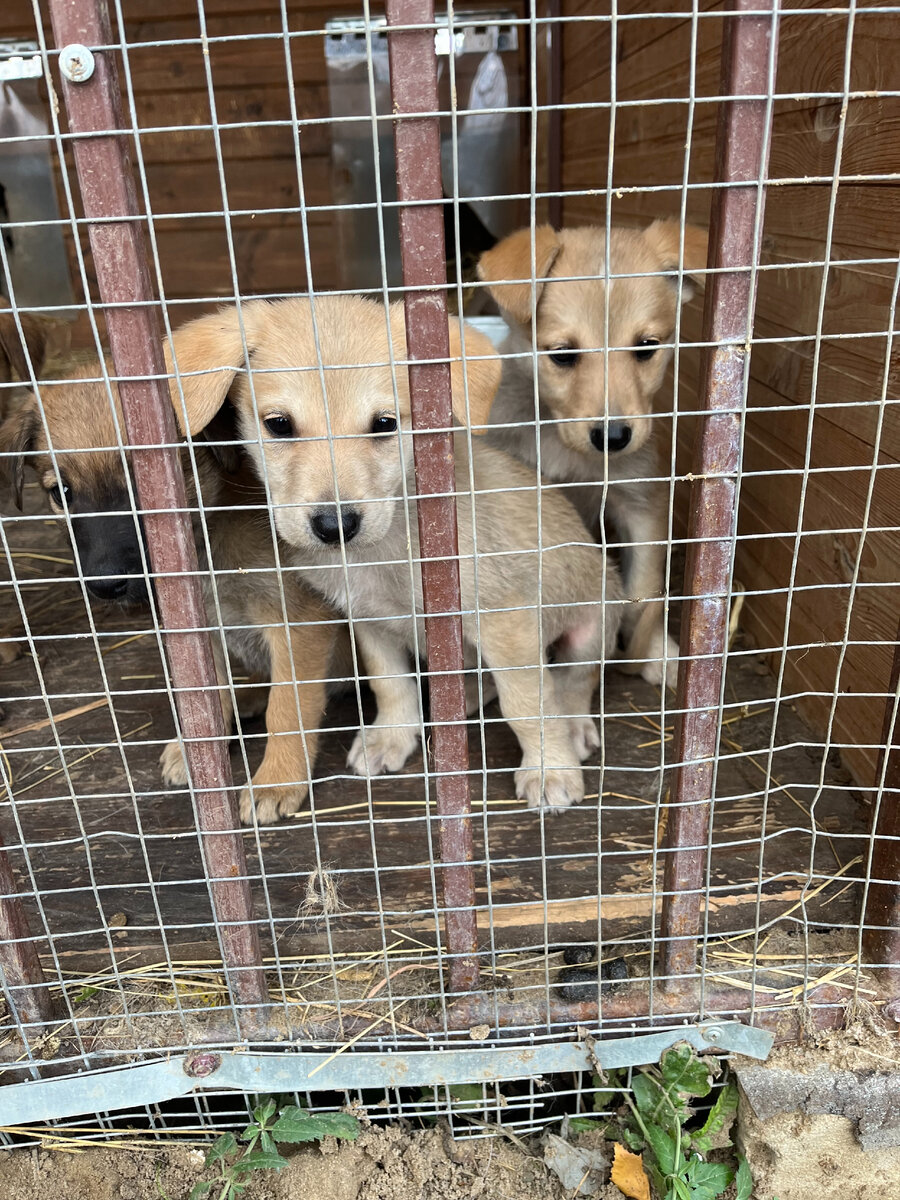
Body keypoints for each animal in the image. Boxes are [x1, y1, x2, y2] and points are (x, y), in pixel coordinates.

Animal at [164, 295, 628, 811]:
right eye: (279, 425)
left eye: (384, 424)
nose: (335, 526)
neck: (390, 547)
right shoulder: (370, 619)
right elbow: (390, 684)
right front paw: (392, 736)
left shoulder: (506, 621)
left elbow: (528, 703)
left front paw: (550, 768)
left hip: (592, 625)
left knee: (575, 681)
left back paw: (574, 727)